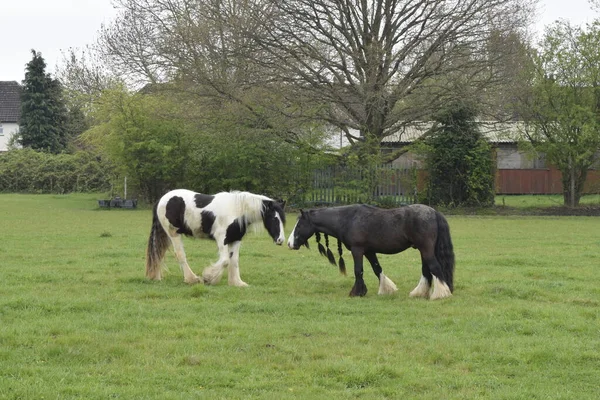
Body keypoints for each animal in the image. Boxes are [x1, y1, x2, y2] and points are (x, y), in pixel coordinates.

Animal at [145, 189, 286, 286]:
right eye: (274, 218)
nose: (280, 240)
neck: (237, 210)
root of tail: (162, 199)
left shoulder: (235, 240)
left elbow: (234, 261)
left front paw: (237, 283)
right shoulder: (222, 239)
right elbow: (225, 261)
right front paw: (209, 278)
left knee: (158, 253)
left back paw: (156, 277)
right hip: (173, 233)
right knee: (180, 255)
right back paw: (192, 279)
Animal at [288, 203, 452, 300]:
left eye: (300, 225)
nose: (290, 244)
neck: (348, 219)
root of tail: (434, 212)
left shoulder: (357, 250)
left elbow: (358, 270)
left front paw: (356, 292)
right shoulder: (369, 251)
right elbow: (377, 269)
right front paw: (385, 289)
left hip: (426, 249)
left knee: (435, 268)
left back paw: (441, 294)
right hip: (423, 251)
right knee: (427, 271)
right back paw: (421, 293)